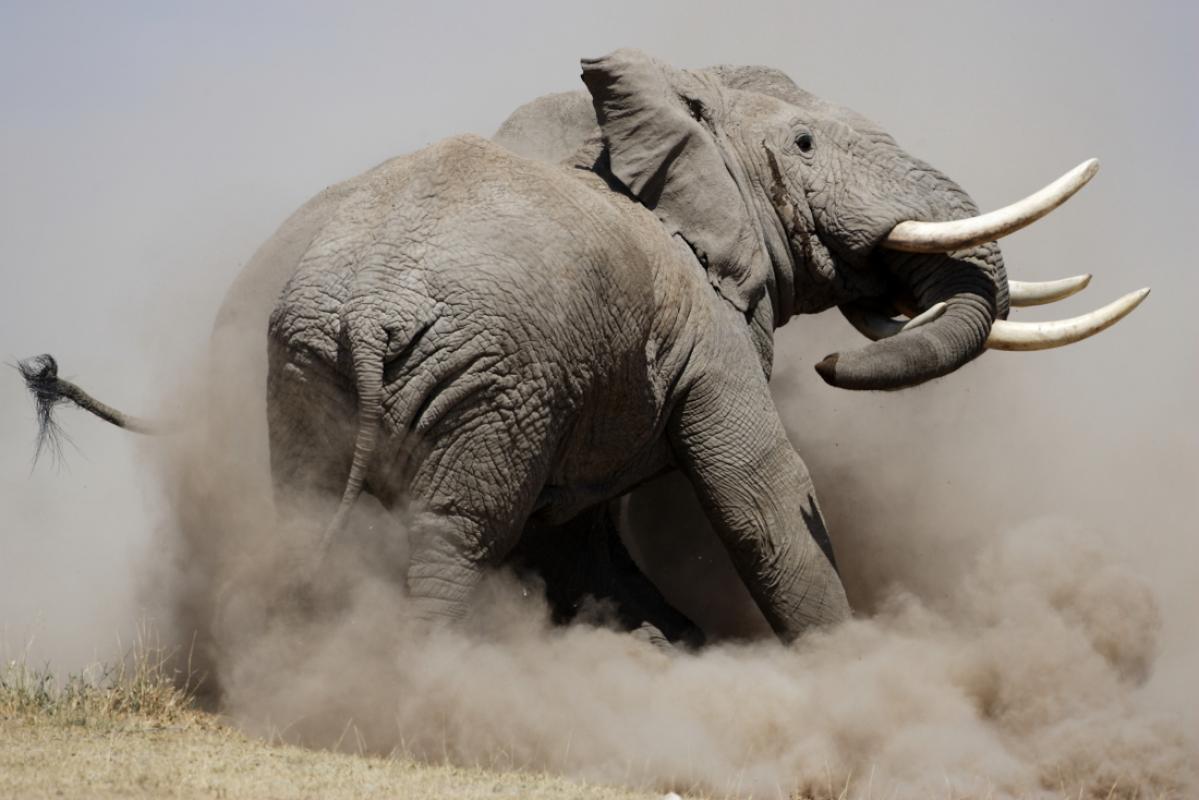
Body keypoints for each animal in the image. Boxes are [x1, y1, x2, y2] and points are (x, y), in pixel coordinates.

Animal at [21, 49, 1147, 649]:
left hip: (308, 368)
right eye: (804, 147)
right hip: (489, 382)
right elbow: (759, 490)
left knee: (305, 514)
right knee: (455, 531)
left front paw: (678, 651)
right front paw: (860, 670)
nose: (833, 363)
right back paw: (424, 692)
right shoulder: (701, 324)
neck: (664, 96)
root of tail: (370, 313)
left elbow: (586, 539)